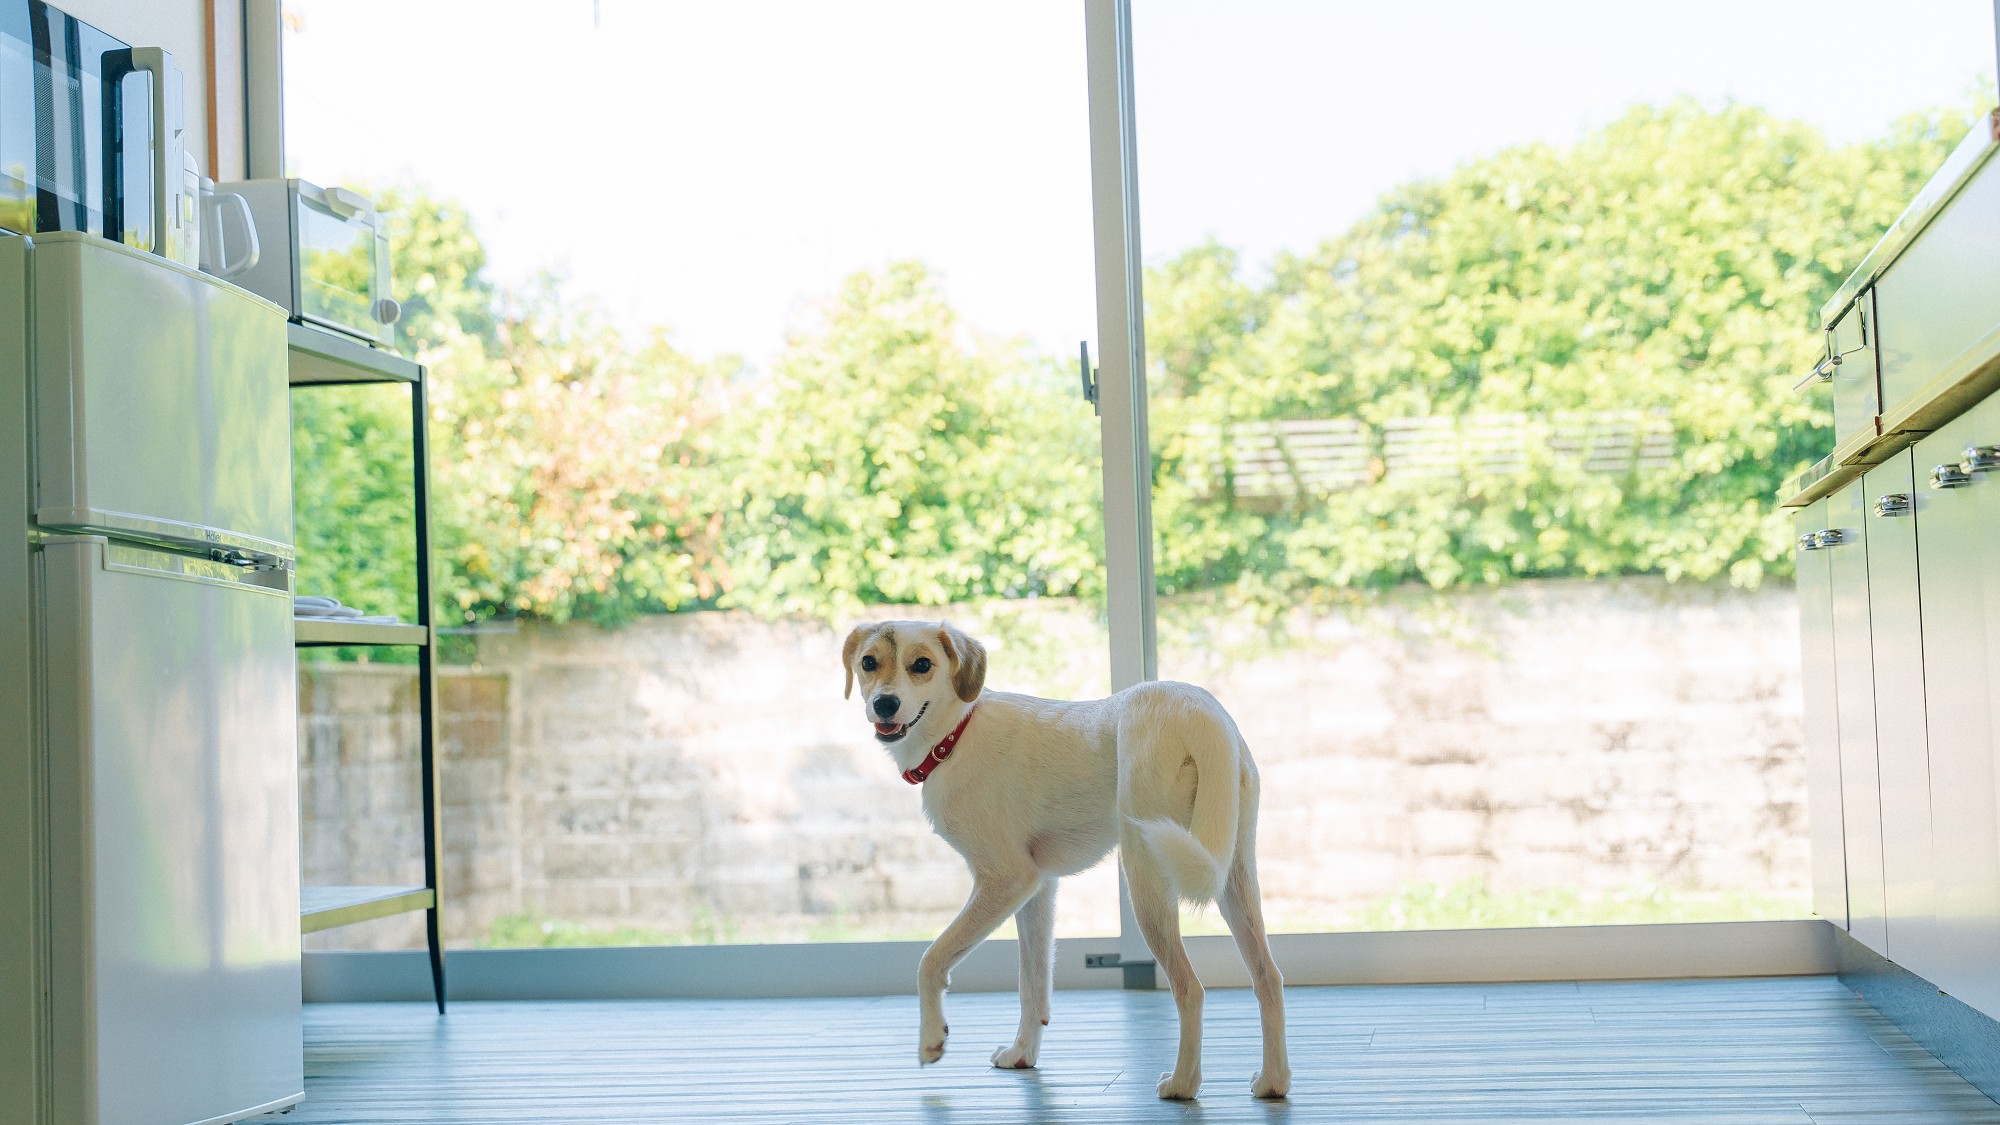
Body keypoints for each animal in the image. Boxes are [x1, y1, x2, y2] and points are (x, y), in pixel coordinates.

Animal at [836, 612, 1288, 1096]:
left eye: (921, 665)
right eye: (868, 662)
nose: (884, 704)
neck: (955, 734)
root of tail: (1199, 712)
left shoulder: (1007, 880)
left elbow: (932, 958)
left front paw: (931, 1040)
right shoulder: (1037, 890)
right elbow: (1032, 982)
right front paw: (1023, 1054)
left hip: (1145, 873)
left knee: (1190, 988)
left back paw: (1182, 1085)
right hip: (1233, 871)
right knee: (1268, 977)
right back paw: (1273, 1081)